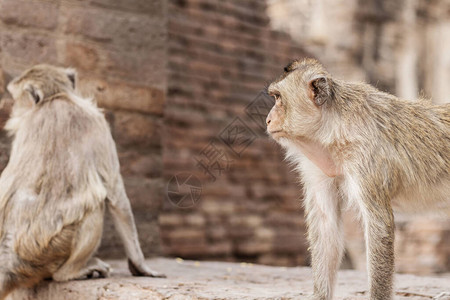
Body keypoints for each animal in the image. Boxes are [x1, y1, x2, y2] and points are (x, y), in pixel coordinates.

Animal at [0, 64, 164, 298]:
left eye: (16, 99)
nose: (13, 109)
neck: (56, 98)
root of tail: (10, 258)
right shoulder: (96, 121)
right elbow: (116, 195)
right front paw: (141, 265)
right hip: (48, 249)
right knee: (96, 205)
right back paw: (68, 273)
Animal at [266, 58, 448, 300]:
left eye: (278, 98)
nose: (268, 119)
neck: (334, 129)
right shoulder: (318, 168)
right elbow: (325, 225)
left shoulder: (365, 157)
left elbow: (379, 226)